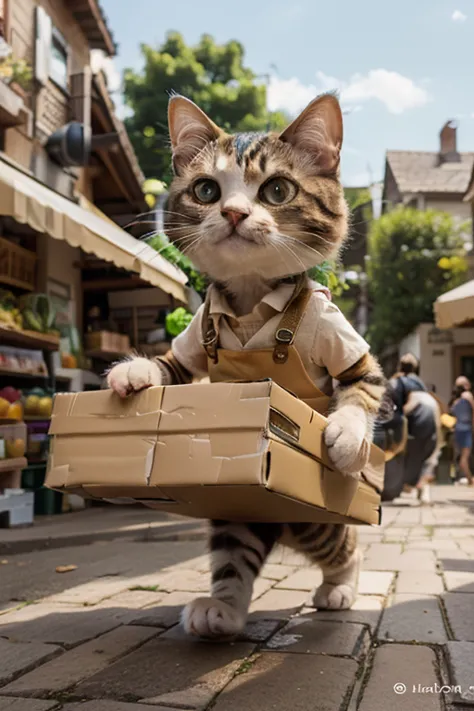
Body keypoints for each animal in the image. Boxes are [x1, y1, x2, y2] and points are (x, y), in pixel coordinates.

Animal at [107, 92, 386, 636]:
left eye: (277, 189)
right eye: (206, 189)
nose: (234, 212)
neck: (252, 299)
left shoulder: (340, 334)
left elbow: (361, 387)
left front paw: (345, 436)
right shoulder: (197, 331)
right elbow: (173, 364)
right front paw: (135, 371)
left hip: (317, 523)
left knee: (345, 547)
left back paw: (340, 588)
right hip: (237, 505)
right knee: (235, 553)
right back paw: (223, 609)